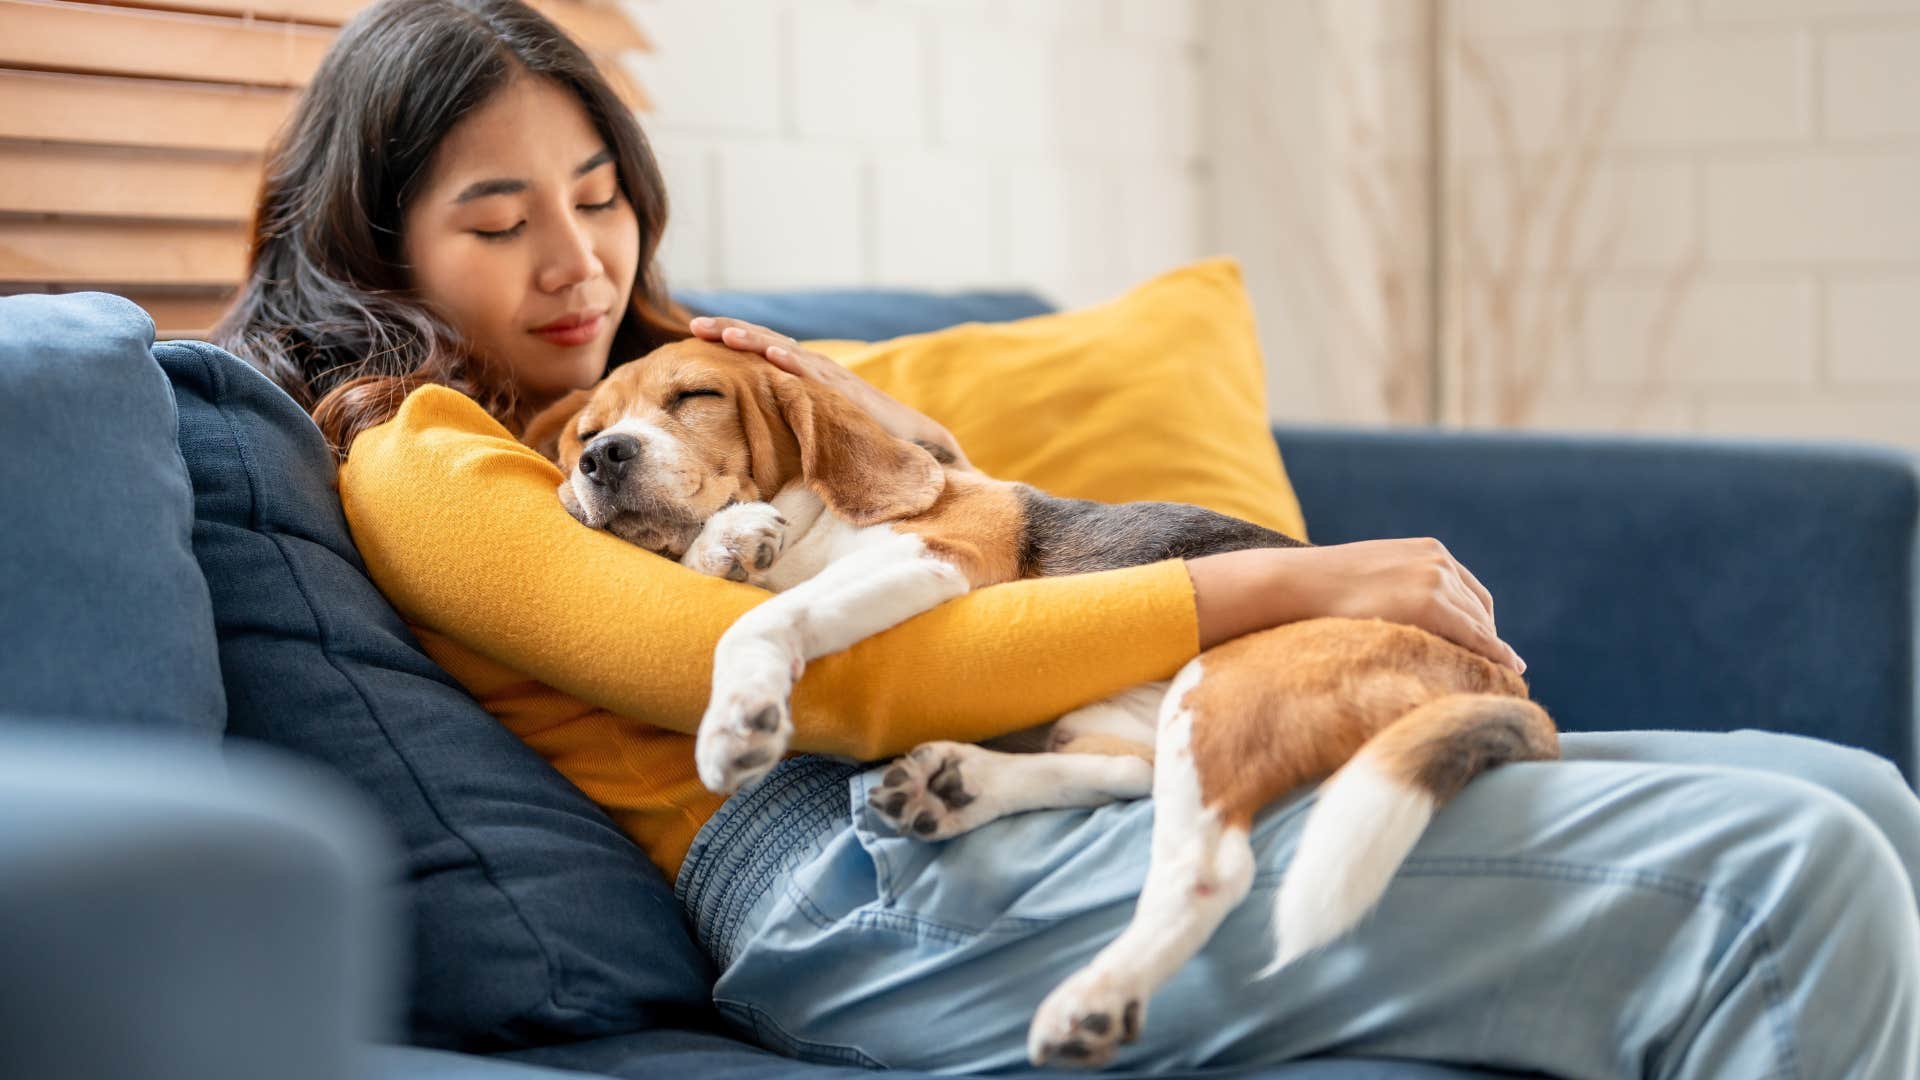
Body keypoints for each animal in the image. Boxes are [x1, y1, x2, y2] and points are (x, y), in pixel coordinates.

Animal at [526, 338, 1559, 1068]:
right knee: (1123, 776)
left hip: (1225, 685)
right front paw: (730, 542)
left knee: (1208, 865)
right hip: (1136, 711)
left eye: (695, 397)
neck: (820, 518)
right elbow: (744, 578)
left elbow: (760, 621)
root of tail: (1505, 680)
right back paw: (959, 786)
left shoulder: (936, 560)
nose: (602, 460)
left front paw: (739, 712)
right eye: (584, 433)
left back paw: (1093, 995)